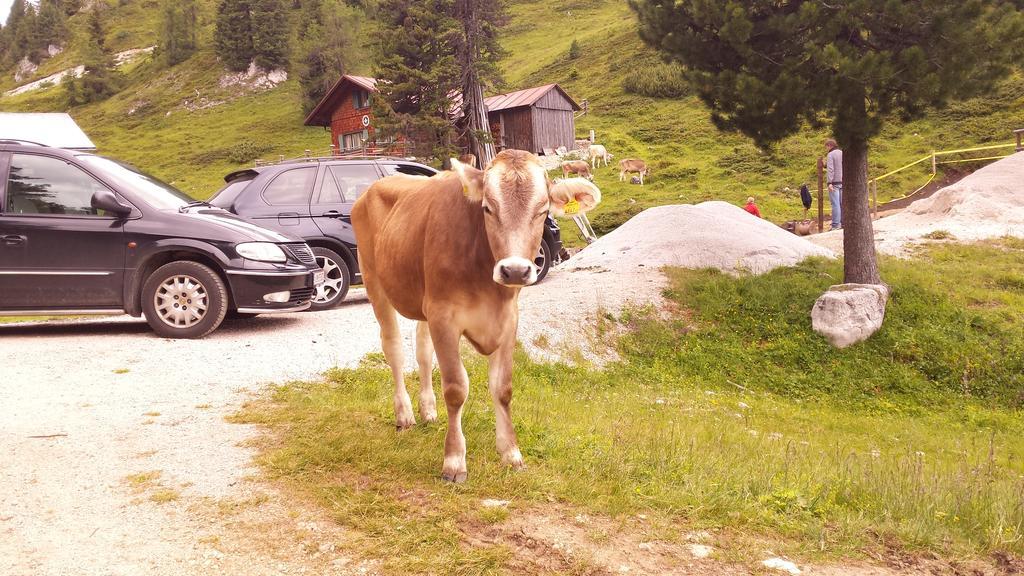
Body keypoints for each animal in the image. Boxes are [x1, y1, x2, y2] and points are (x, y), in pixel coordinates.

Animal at [350, 147, 598, 479]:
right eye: (487, 208)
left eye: (543, 210)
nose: (515, 270)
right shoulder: (444, 316)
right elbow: (456, 388)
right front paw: (454, 461)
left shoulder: (507, 319)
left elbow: (503, 388)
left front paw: (511, 453)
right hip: (374, 282)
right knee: (393, 349)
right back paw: (404, 415)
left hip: (423, 299)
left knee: (422, 351)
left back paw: (428, 411)